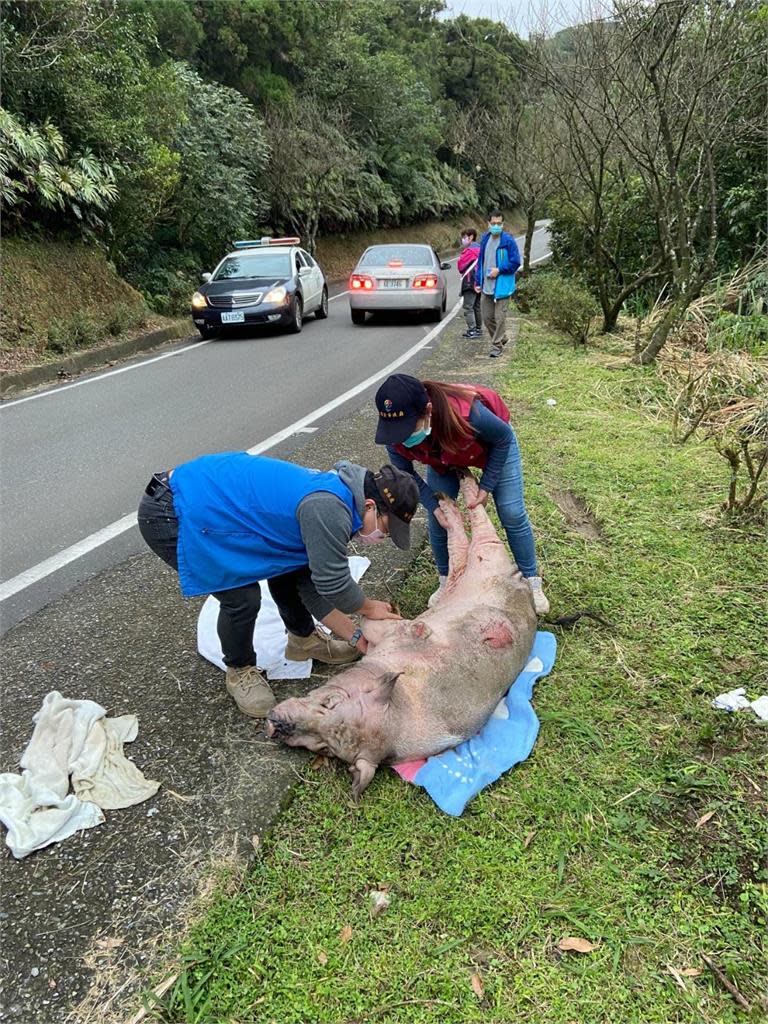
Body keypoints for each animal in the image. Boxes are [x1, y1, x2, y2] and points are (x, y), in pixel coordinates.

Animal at [268, 471, 536, 798]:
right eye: (323, 749)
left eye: (329, 703)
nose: (276, 726)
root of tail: (523, 588)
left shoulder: (393, 634)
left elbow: (375, 624)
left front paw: (382, 616)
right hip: (463, 576)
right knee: (459, 552)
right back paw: (448, 498)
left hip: (490, 557)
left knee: (478, 533)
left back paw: (461, 492)